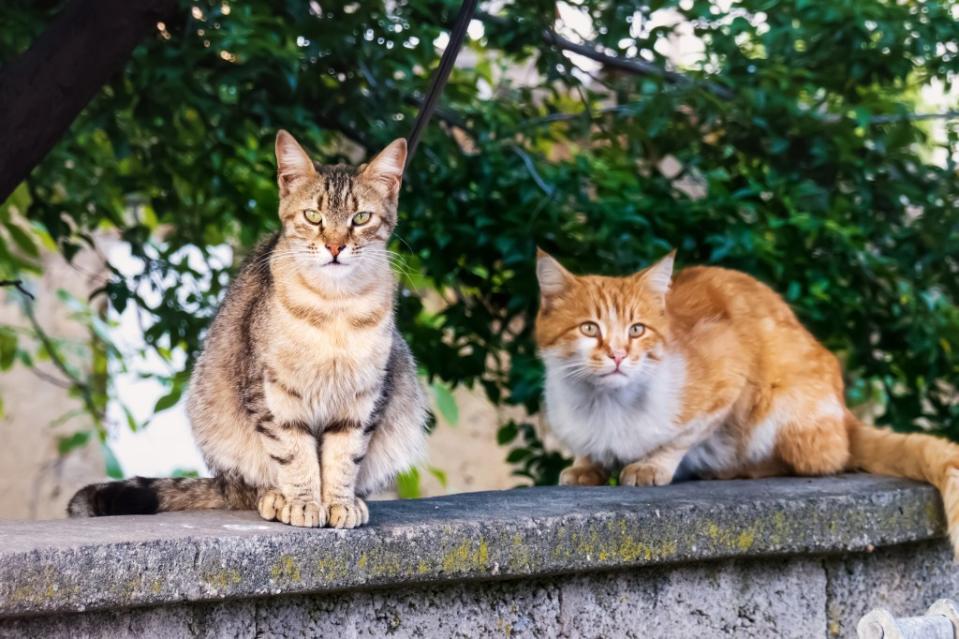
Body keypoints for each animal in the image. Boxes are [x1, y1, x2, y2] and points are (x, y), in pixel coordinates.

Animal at [67, 130, 428, 528]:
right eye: (313, 216)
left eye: (361, 217)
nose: (335, 246)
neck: (334, 305)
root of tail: (223, 483)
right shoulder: (270, 391)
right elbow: (295, 453)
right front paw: (303, 502)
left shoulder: (365, 394)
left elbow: (344, 456)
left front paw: (339, 502)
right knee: (249, 487)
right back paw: (274, 497)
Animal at [536, 250, 959, 556]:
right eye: (589, 328)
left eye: (637, 329)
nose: (619, 355)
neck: (604, 405)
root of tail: (845, 413)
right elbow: (589, 452)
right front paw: (585, 466)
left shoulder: (728, 376)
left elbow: (681, 437)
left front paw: (651, 466)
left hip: (782, 403)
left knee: (819, 461)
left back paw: (730, 470)